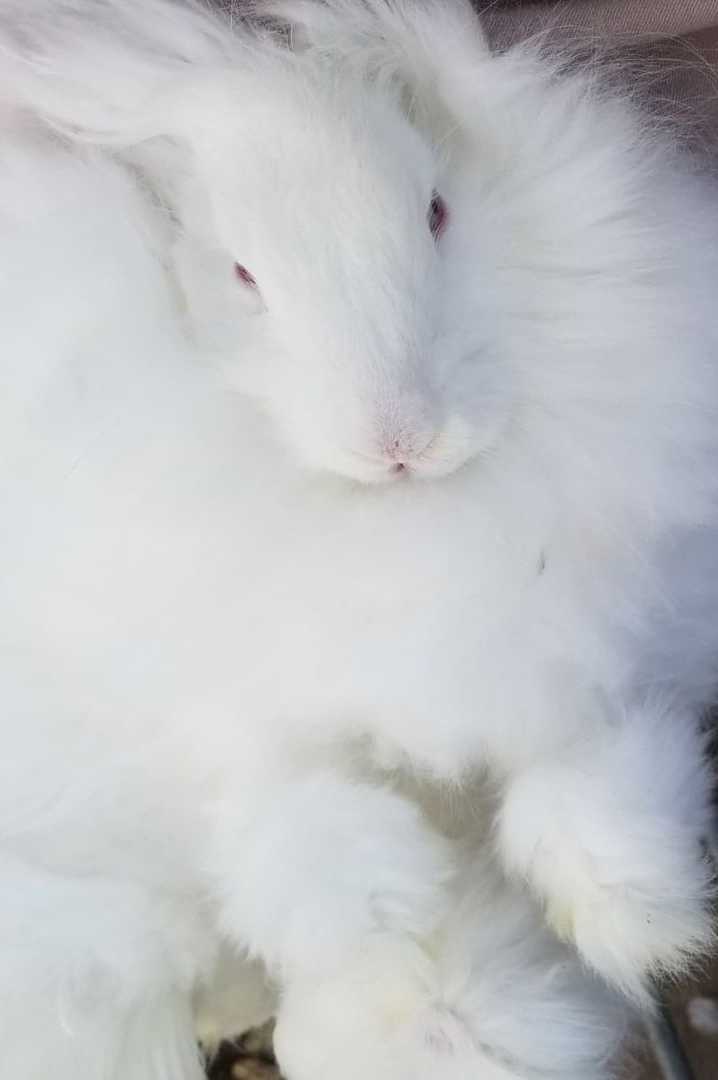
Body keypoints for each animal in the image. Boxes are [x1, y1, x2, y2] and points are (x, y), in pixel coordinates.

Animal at [1, 0, 716, 1075]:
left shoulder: (582, 653)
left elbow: (586, 780)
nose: (401, 440)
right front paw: (392, 936)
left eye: (437, 210)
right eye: (242, 273)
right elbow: (304, 825)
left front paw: (639, 920)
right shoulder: (226, 710)